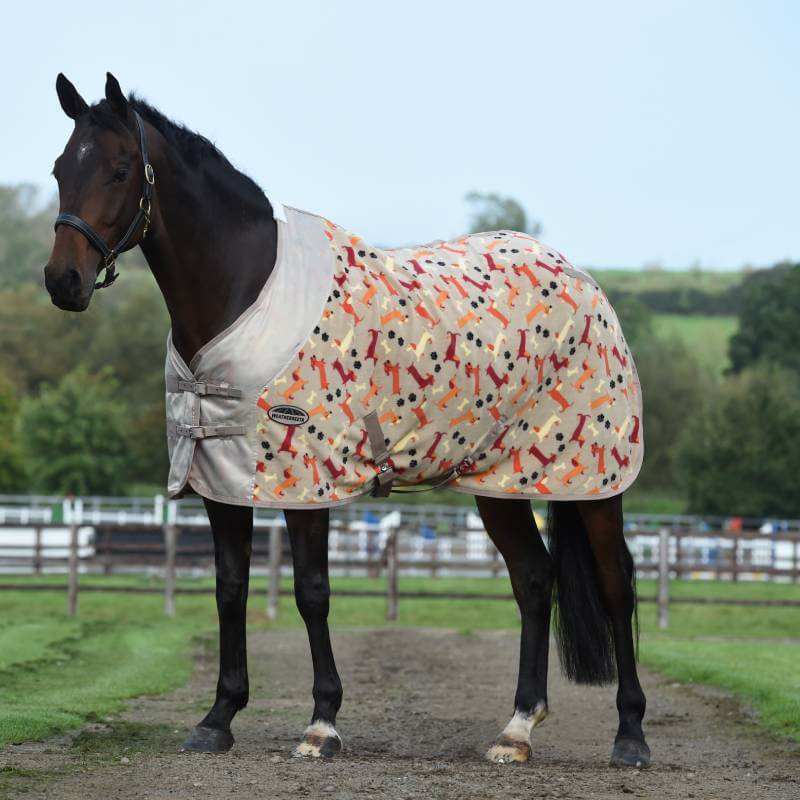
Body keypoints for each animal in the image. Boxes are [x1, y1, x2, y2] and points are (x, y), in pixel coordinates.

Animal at [43, 73, 650, 768]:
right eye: (60, 168)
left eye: (119, 170)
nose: (62, 281)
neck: (244, 287)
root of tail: (583, 280)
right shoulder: (221, 479)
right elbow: (230, 588)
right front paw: (218, 717)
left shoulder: (307, 482)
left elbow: (311, 591)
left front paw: (322, 723)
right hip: (501, 483)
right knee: (533, 578)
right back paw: (516, 730)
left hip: (594, 482)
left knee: (616, 584)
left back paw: (630, 735)